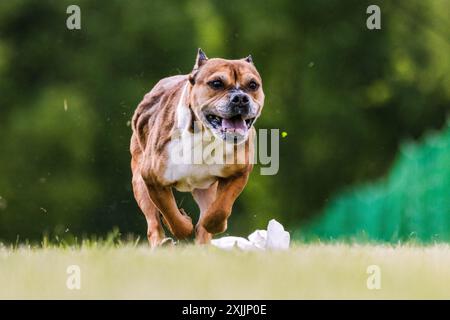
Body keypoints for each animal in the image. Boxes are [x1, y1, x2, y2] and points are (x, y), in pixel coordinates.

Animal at [129, 48, 264, 246]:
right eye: (216, 83)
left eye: (253, 85)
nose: (240, 98)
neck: (206, 135)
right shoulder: (152, 179)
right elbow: (170, 213)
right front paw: (184, 224)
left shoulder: (238, 173)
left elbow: (219, 209)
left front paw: (214, 224)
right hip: (139, 182)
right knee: (153, 221)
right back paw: (162, 242)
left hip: (206, 188)